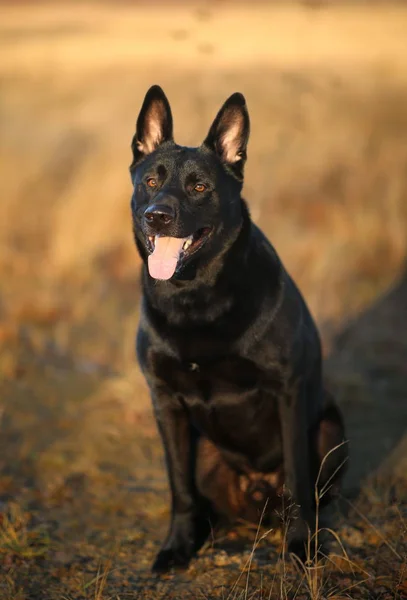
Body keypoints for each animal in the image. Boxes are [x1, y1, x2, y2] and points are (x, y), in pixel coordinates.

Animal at [130, 84, 348, 572]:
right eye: (150, 181)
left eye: (199, 187)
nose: (157, 215)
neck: (195, 297)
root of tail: (256, 490)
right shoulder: (165, 403)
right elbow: (179, 488)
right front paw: (178, 546)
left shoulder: (289, 391)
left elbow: (299, 481)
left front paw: (301, 545)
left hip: (330, 430)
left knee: (308, 490)